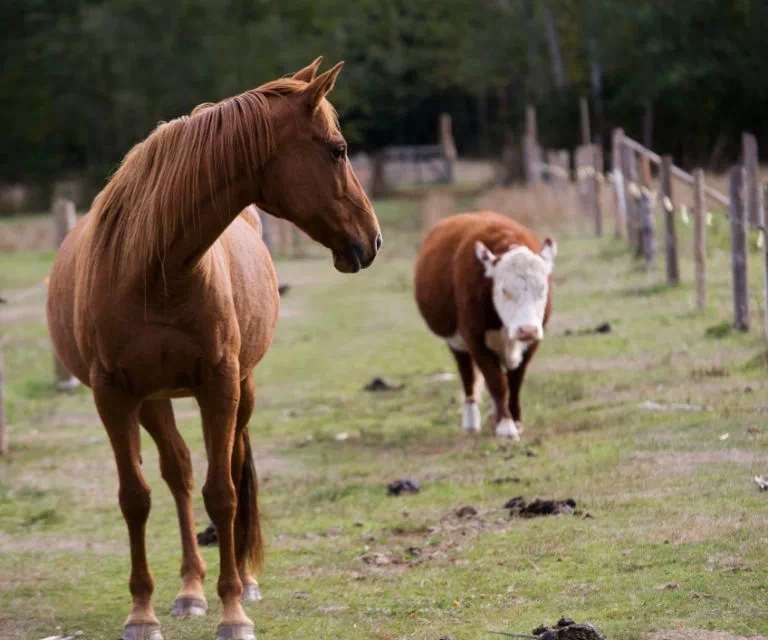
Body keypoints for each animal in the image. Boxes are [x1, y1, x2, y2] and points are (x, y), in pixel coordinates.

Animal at [45, 58, 380, 640]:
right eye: (337, 150)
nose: (374, 238)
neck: (154, 269)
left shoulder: (220, 386)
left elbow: (222, 494)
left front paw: (234, 612)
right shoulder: (114, 396)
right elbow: (135, 498)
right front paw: (142, 613)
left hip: (240, 389)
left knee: (232, 465)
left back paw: (242, 582)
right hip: (153, 400)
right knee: (177, 472)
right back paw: (188, 589)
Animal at [416, 210, 556, 440]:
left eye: (542, 289)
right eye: (504, 290)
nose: (526, 329)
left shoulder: (534, 340)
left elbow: (514, 380)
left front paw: (515, 420)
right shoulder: (474, 338)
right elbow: (496, 381)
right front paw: (506, 426)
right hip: (456, 342)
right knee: (468, 376)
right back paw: (472, 421)